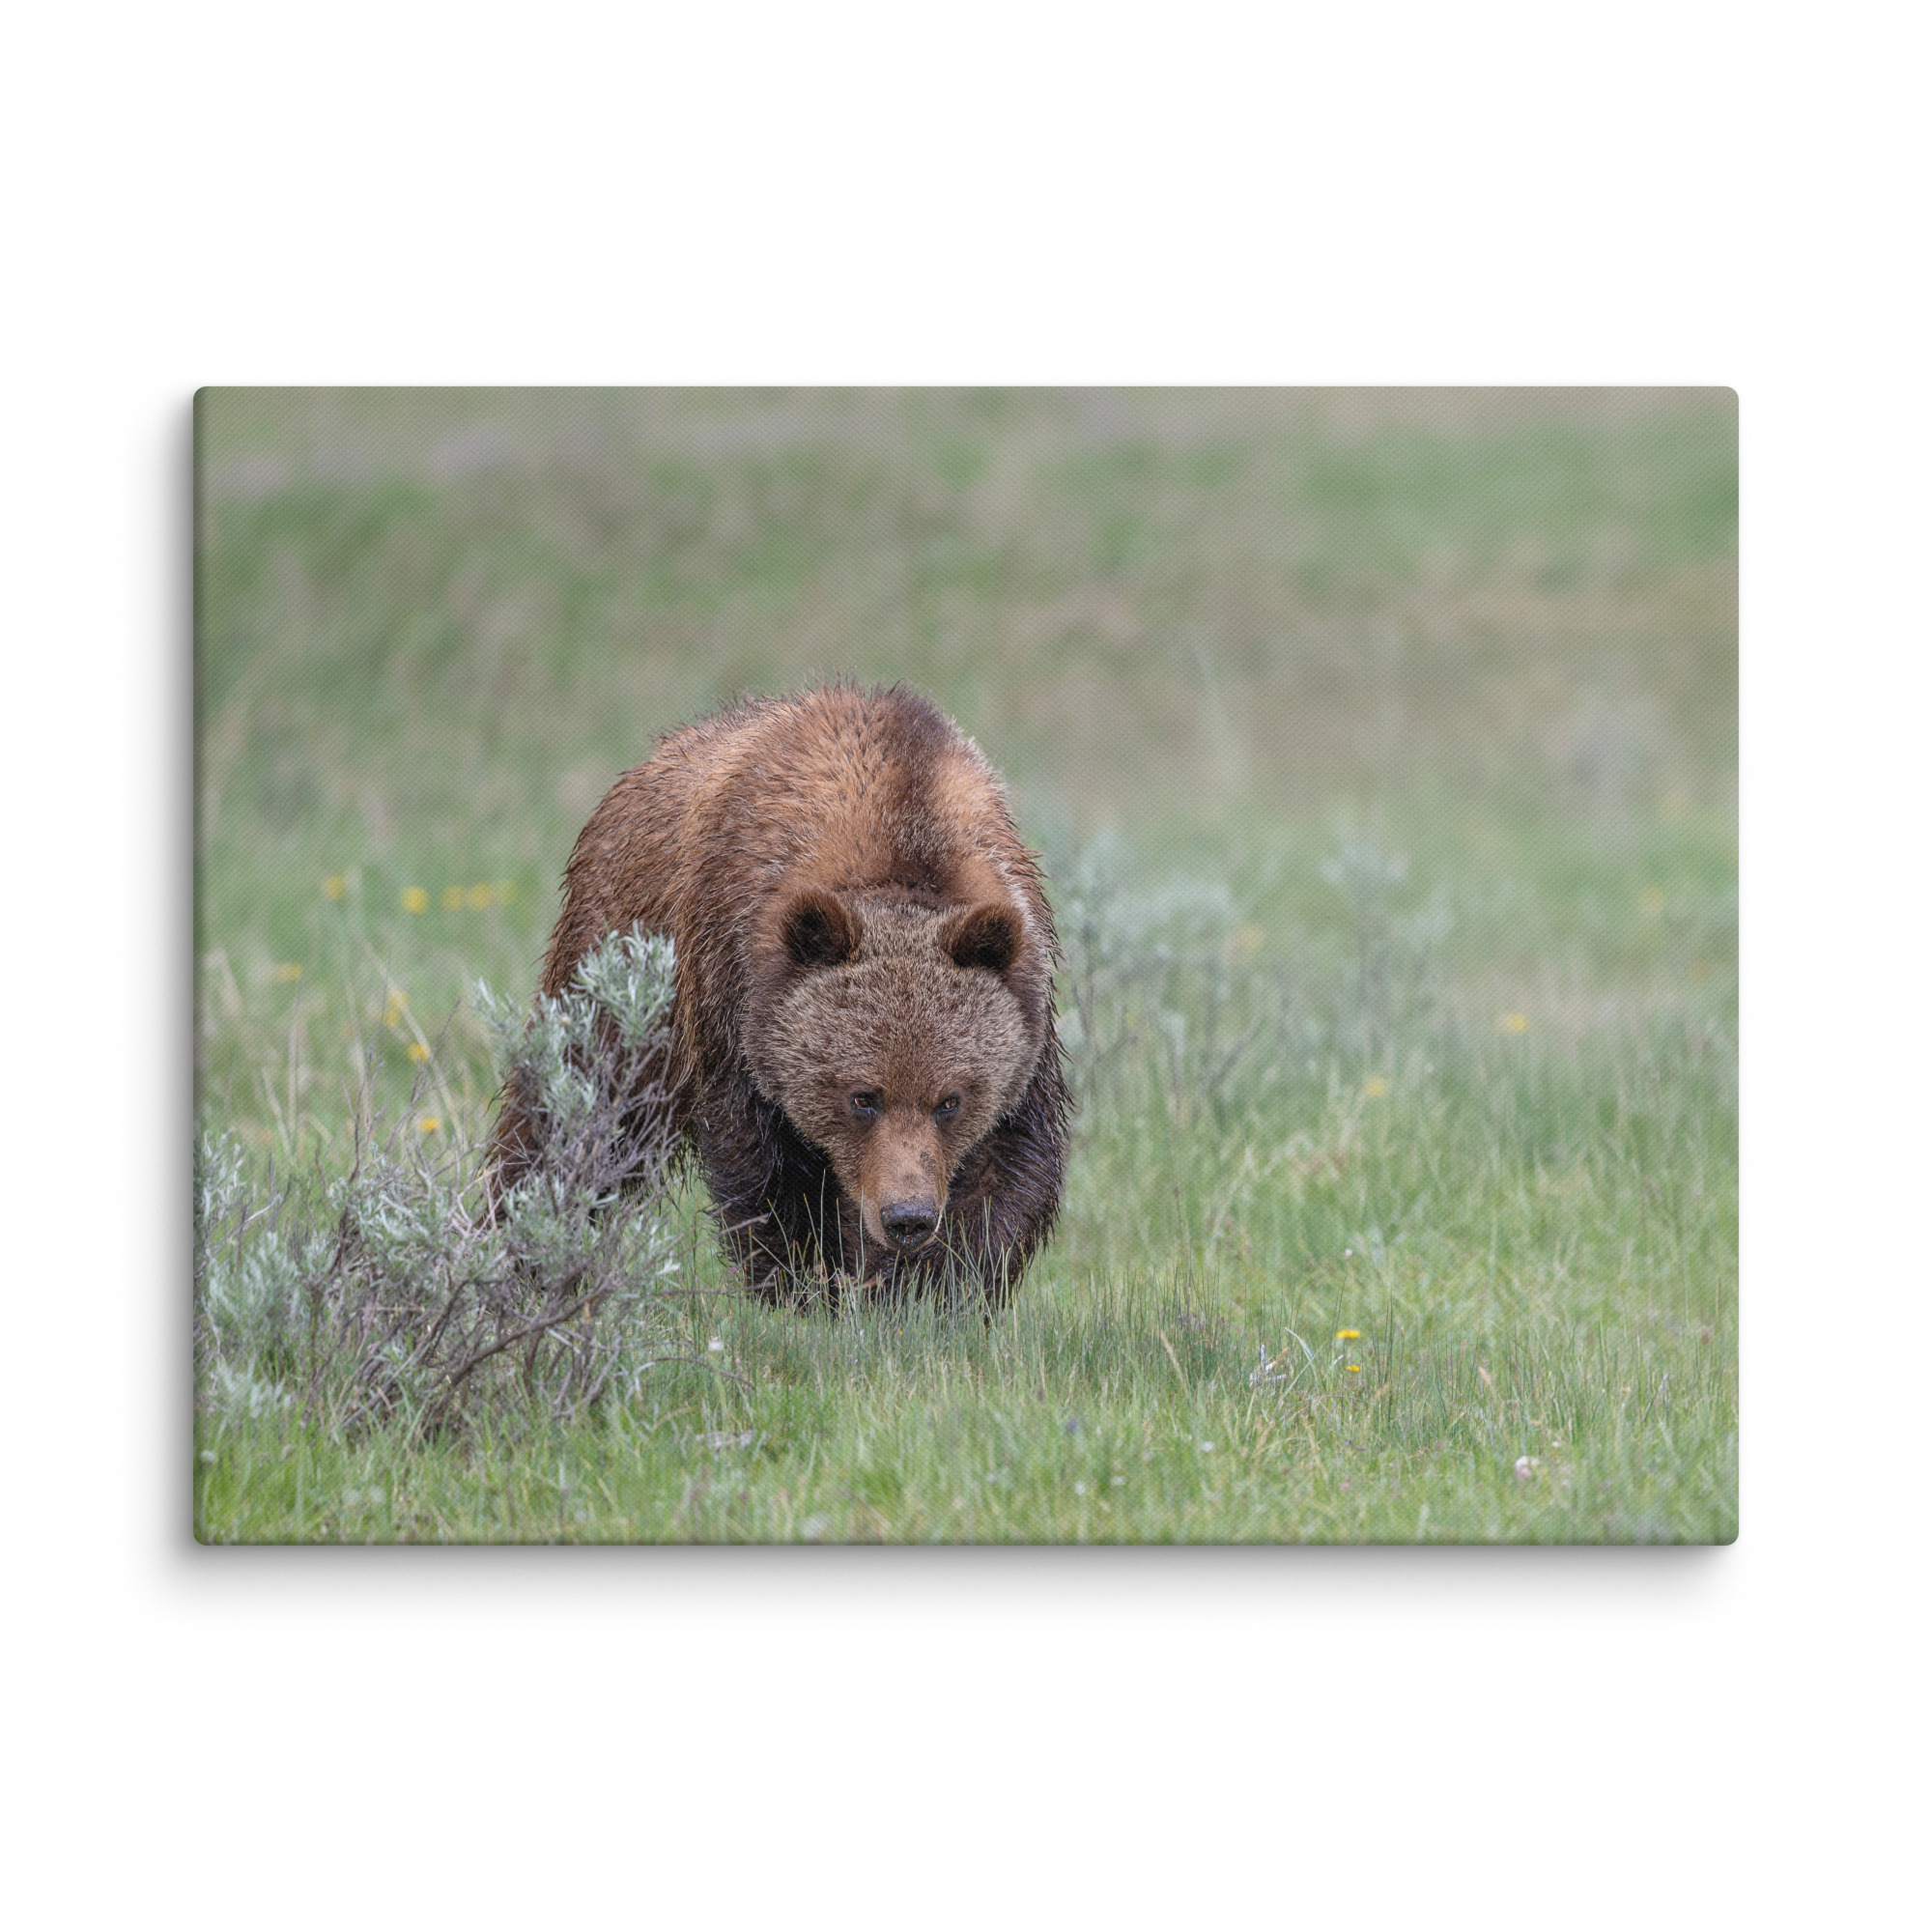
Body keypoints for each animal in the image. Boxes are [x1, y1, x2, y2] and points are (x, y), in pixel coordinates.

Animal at [488, 682, 1071, 1308]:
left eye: (950, 1100)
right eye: (862, 1097)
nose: (907, 1217)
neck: (902, 833)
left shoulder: (1025, 1010)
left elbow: (1007, 1169)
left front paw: (930, 1291)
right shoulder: (733, 994)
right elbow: (767, 1172)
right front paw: (805, 1287)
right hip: (619, 965)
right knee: (573, 1111)